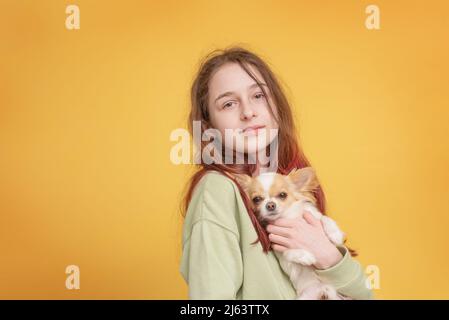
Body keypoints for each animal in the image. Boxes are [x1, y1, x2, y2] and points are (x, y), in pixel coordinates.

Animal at [233, 168, 348, 300]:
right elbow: (289, 252)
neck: (288, 217)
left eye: (283, 195)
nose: (270, 205)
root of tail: (323, 290)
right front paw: (305, 256)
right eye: (256, 199)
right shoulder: (283, 254)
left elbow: (324, 218)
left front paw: (335, 234)